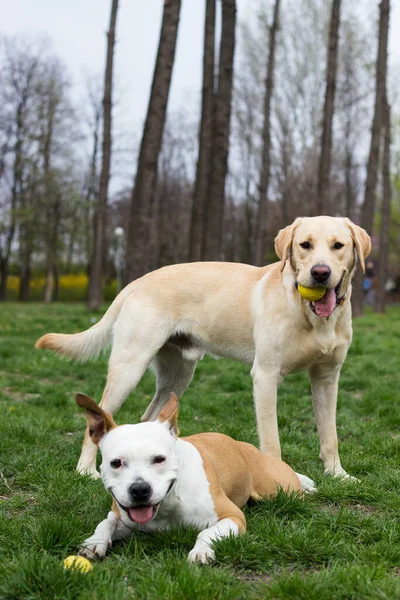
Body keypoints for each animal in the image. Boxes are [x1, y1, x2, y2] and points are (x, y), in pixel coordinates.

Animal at [76, 392, 316, 564]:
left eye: (159, 459)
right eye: (116, 463)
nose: (140, 490)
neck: (169, 503)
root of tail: (245, 446)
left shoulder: (233, 517)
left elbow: (207, 533)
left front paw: (201, 551)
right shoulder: (125, 518)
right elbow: (106, 521)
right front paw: (94, 542)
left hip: (279, 489)